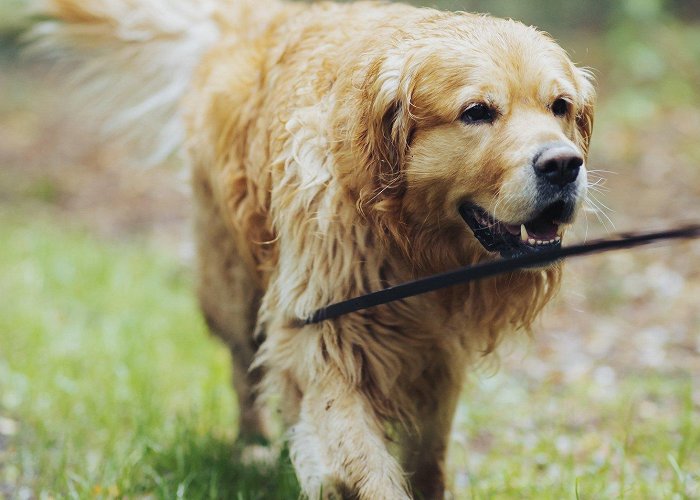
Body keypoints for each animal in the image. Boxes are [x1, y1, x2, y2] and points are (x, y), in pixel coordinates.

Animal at [35, 0, 592, 496]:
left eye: (560, 106)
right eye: (477, 112)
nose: (563, 165)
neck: (407, 242)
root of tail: (251, 18)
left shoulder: (438, 354)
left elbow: (428, 456)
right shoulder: (324, 338)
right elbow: (366, 465)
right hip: (234, 285)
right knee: (243, 366)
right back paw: (252, 448)